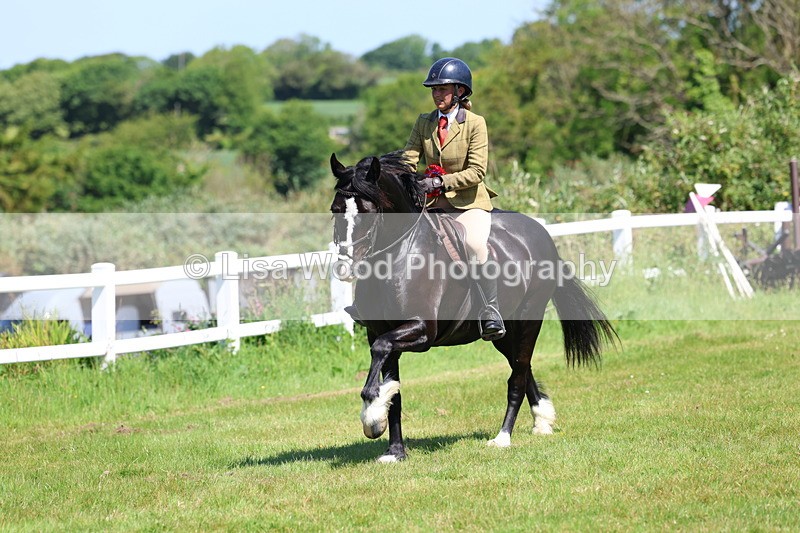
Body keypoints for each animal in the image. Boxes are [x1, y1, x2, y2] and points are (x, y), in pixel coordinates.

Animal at [329, 151, 617, 463]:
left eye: (368, 212)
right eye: (334, 209)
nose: (344, 269)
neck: (399, 255)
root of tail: (540, 233)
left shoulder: (422, 330)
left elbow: (381, 351)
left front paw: (371, 416)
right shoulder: (381, 330)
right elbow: (393, 386)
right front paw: (394, 449)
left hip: (529, 319)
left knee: (517, 378)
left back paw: (503, 438)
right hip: (504, 334)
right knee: (521, 366)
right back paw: (542, 420)